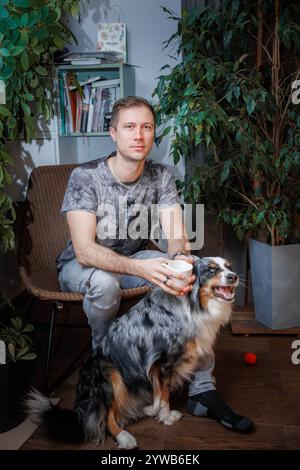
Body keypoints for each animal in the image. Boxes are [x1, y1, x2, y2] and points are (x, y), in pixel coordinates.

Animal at [27, 258, 239, 448]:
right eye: (211, 270)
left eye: (229, 266)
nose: (234, 276)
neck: (192, 304)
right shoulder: (164, 361)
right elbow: (164, 394)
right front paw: (166, 417)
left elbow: (159, 391)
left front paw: (157, 410)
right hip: (110, 374)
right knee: (107, 417)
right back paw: (124, 437)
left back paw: (146, 409)